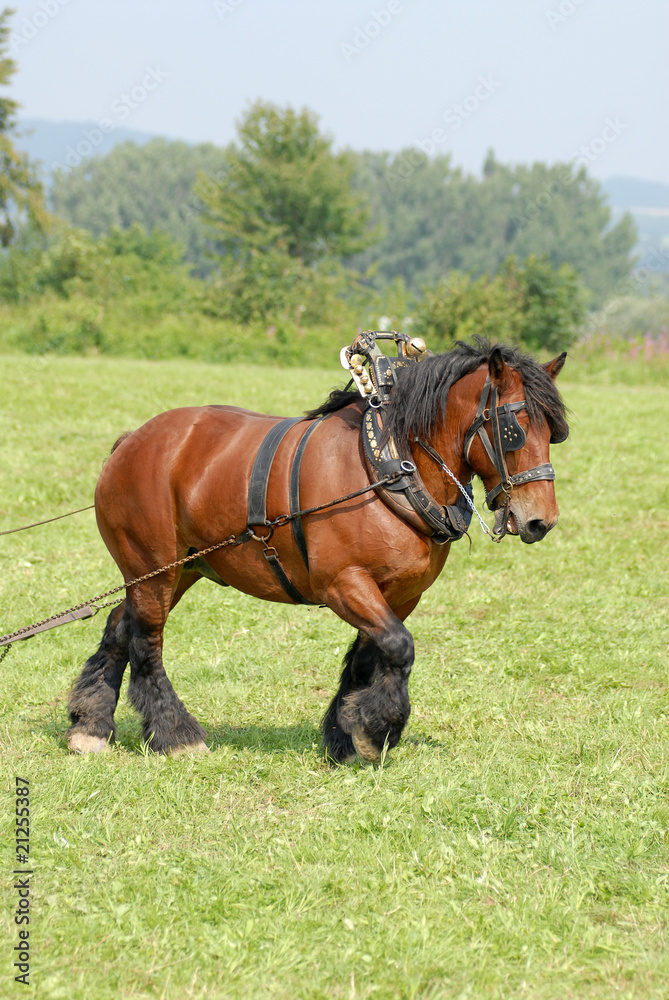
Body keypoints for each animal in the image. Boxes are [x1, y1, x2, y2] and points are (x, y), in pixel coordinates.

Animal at [66, 340, 568, 760]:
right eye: (514, 429)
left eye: (554, 432)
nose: (540, 520)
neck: (390, 467)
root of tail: (131, 441)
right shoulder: (341, 583)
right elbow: (398, 646)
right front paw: (375, 731)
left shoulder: (401, 593)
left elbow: (369, 654)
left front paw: (347, 734)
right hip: (152, 567)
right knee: (147, 640)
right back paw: (175, 734)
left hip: (179, 569)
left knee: (121, 624)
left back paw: (90, 725)